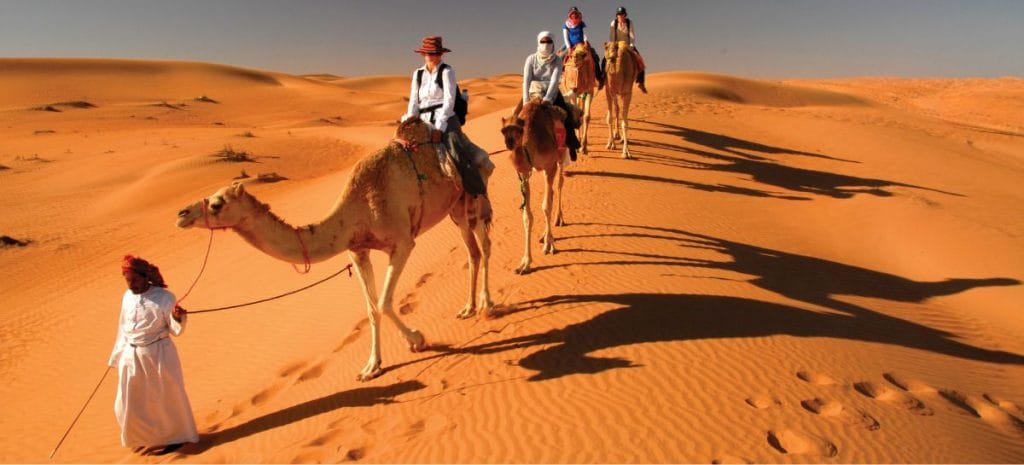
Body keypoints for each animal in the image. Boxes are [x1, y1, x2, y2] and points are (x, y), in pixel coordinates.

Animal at [175, 118, 493, 381]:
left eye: (217, 204)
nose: (182, 214)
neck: (358, 207)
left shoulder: (402, 242)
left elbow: (384, 302)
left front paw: (417, 339)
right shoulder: (358, 250)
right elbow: (371, 308)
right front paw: (372, 367)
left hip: (473, 194)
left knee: (485, 245)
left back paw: (488, 304)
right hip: (455, 208)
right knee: (473, 251)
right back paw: (468, 308)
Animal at [501, 99, 568, 274]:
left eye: (519, 130)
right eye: (502, 131)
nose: (509, 144)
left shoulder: (550, 165)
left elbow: (546, 206)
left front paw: (549, 246)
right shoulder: (524, 174)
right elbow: (527, 216)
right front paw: (525, 263)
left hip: (561, 155)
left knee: (559, 185)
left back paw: (558, 220)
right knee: (552, 192)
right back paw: (544, 234)